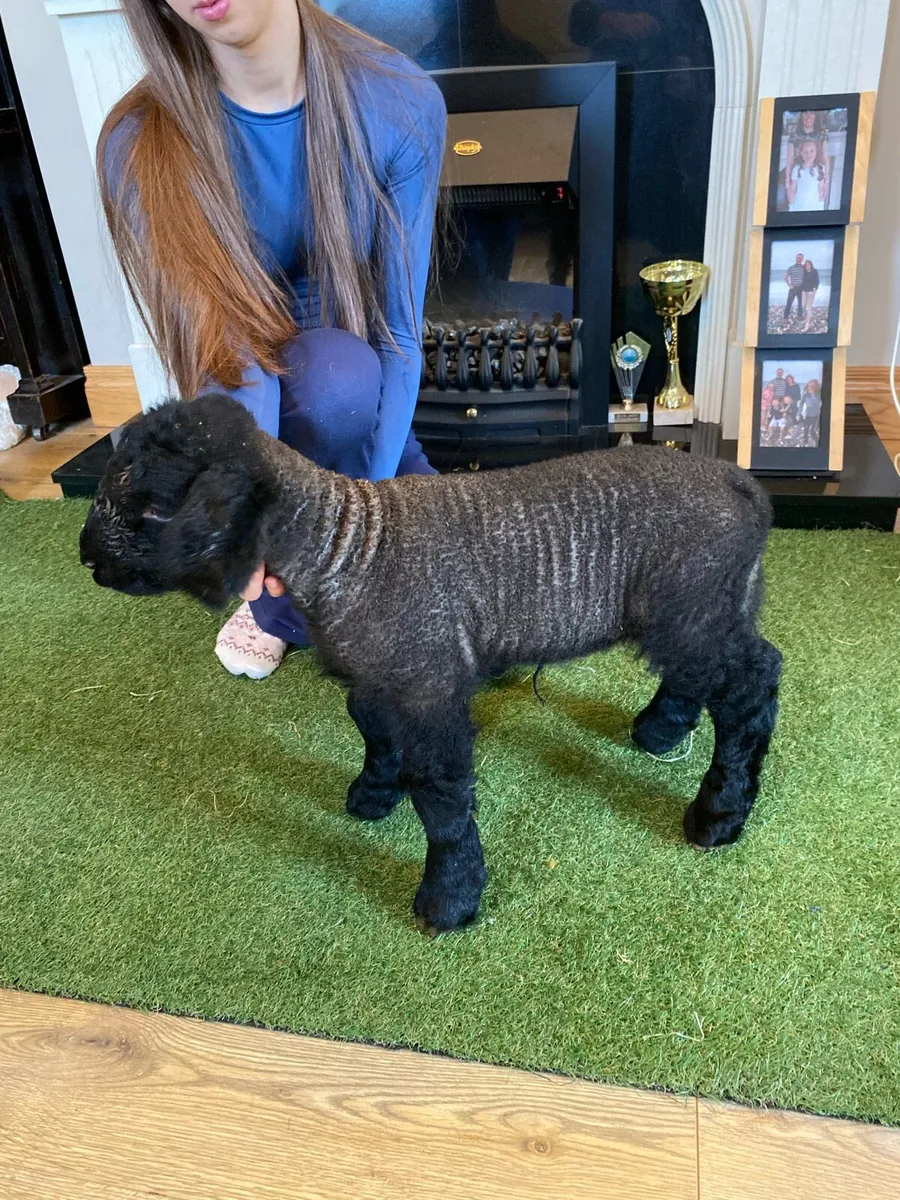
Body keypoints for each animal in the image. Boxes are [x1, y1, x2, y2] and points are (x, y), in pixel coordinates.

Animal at [80, 394, 782, 932]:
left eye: (152, 508)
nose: (86, 558)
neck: (342, 547)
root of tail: (742, 483)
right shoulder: (383, 675)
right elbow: (370, 728)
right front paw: (372, 793)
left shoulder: (428, 685)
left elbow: (440, 797)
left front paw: (449, 898)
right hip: (705, 607)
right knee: (707, 673)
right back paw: (661, 728)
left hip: (693, 605)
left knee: (754, 684)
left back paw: (719, 813)